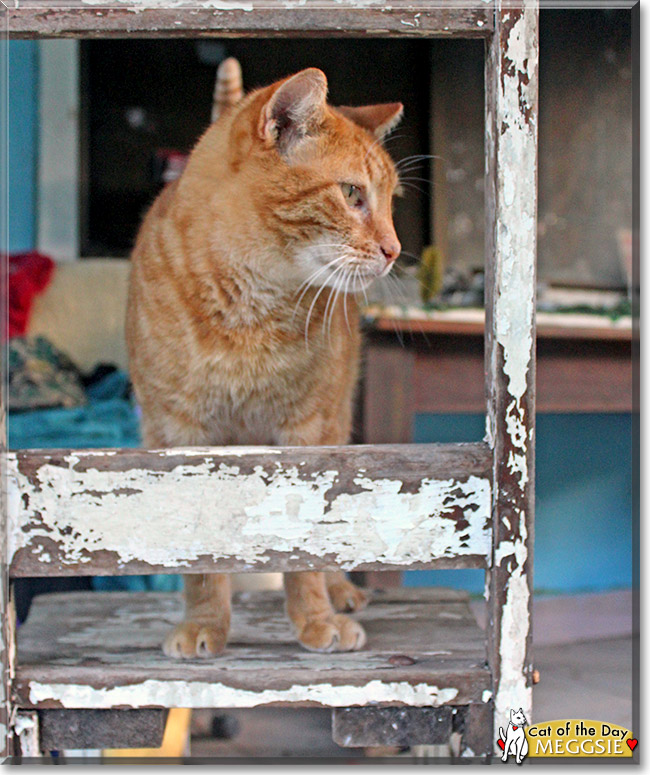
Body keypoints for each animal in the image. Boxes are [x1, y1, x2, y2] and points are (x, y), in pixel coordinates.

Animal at [125, 57, 400, 656]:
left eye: (393, 201)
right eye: (352, 193)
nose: (393, 251)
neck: (249, 309)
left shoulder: (307, 432)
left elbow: (306, 549)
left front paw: (316, 616)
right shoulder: (181, 434)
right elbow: (202, 552)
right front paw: (205, 622)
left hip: (338, 420)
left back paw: (339, 593)